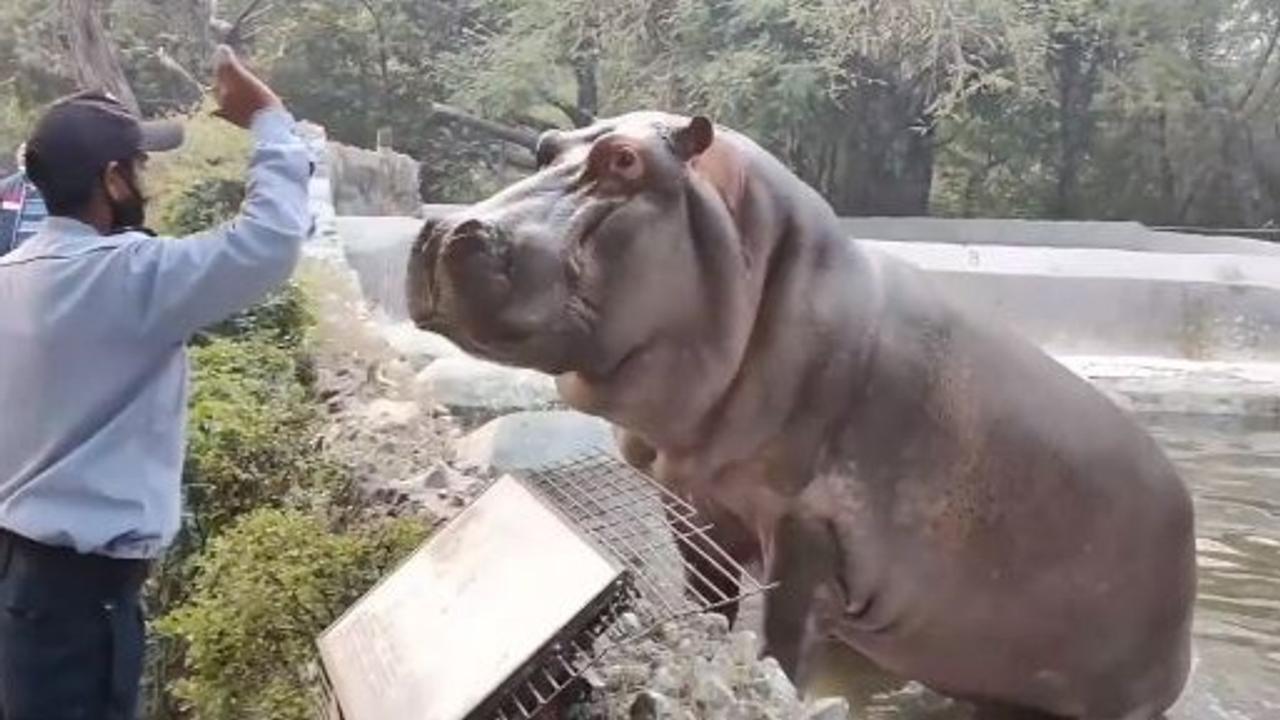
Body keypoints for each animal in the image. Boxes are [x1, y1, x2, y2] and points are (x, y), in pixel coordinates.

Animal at [409, 112, 1198, 717]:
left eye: (626, 160)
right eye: (546, 144)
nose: (443, 230)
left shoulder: (811, 530)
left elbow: (782, 638)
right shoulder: (691, 501)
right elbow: (708, 599)